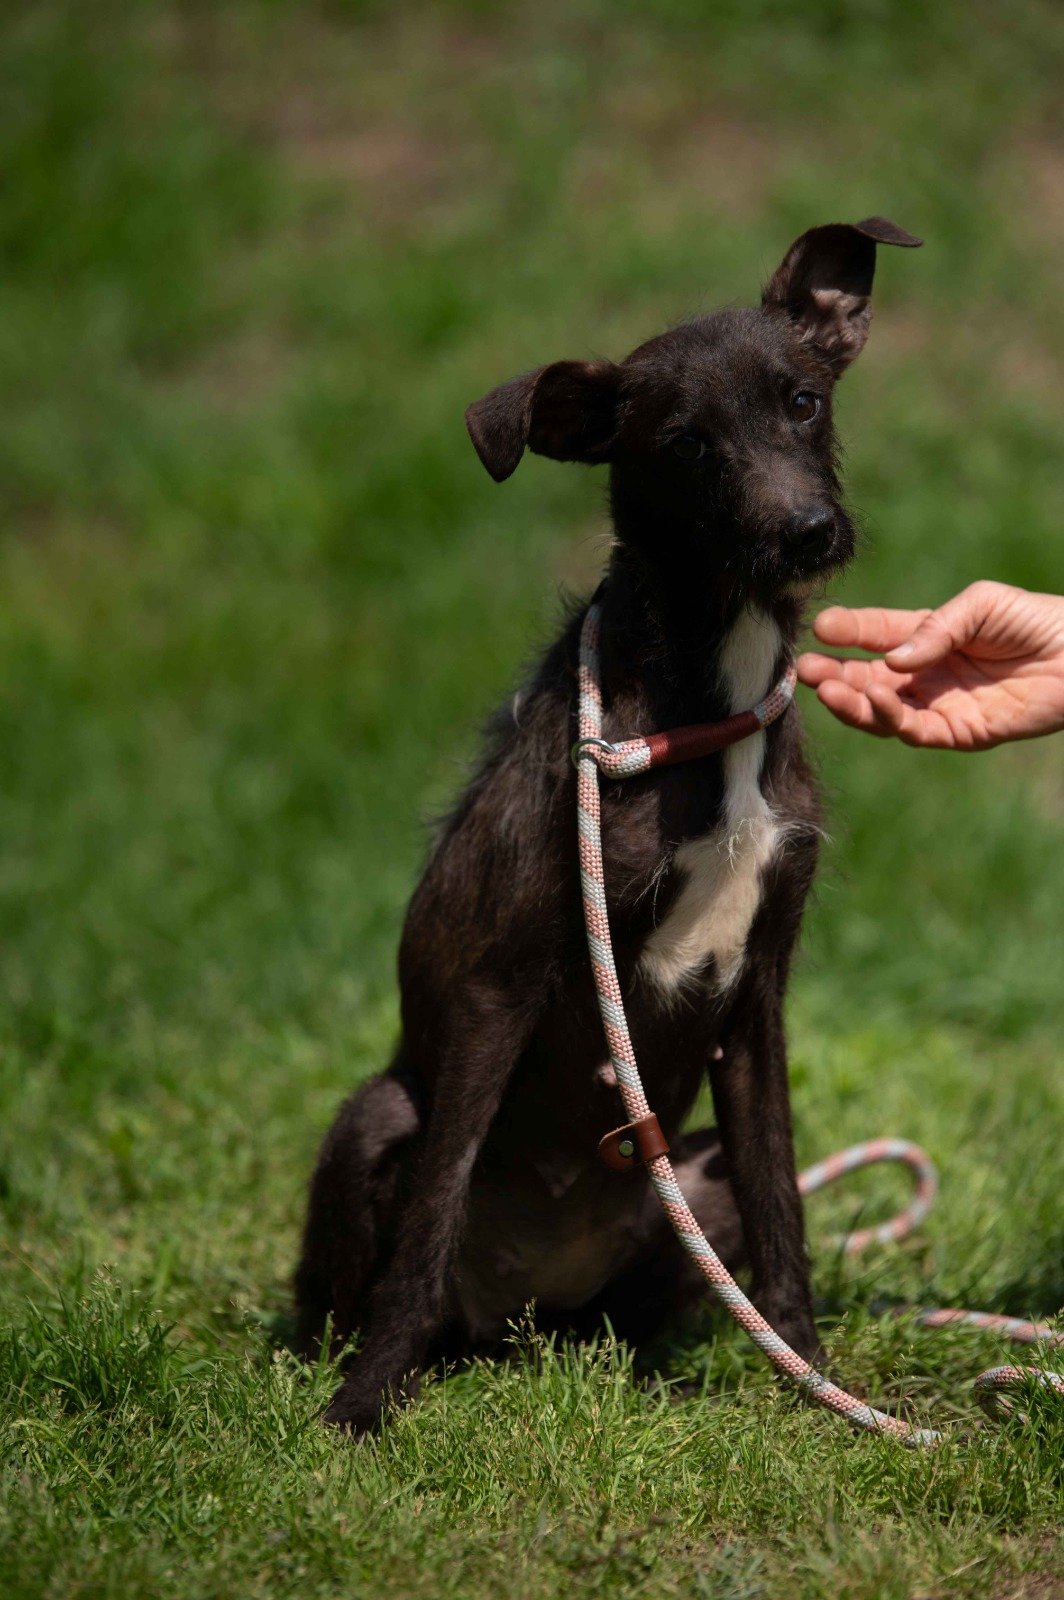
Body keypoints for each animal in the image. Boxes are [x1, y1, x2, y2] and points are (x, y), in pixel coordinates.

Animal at [294, 217, 922, 1434]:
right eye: (684, 444)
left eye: (802, 401)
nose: (806, 531)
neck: (707, 698)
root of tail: (517, 1320)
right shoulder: (498, 984)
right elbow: (435, 1202)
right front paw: (366, 1405)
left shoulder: (758, 999)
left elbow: (784, 1210)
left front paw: (813, 1381)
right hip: (375, 1118)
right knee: (372, 1265)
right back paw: (366, 1364)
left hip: (688, 1178)